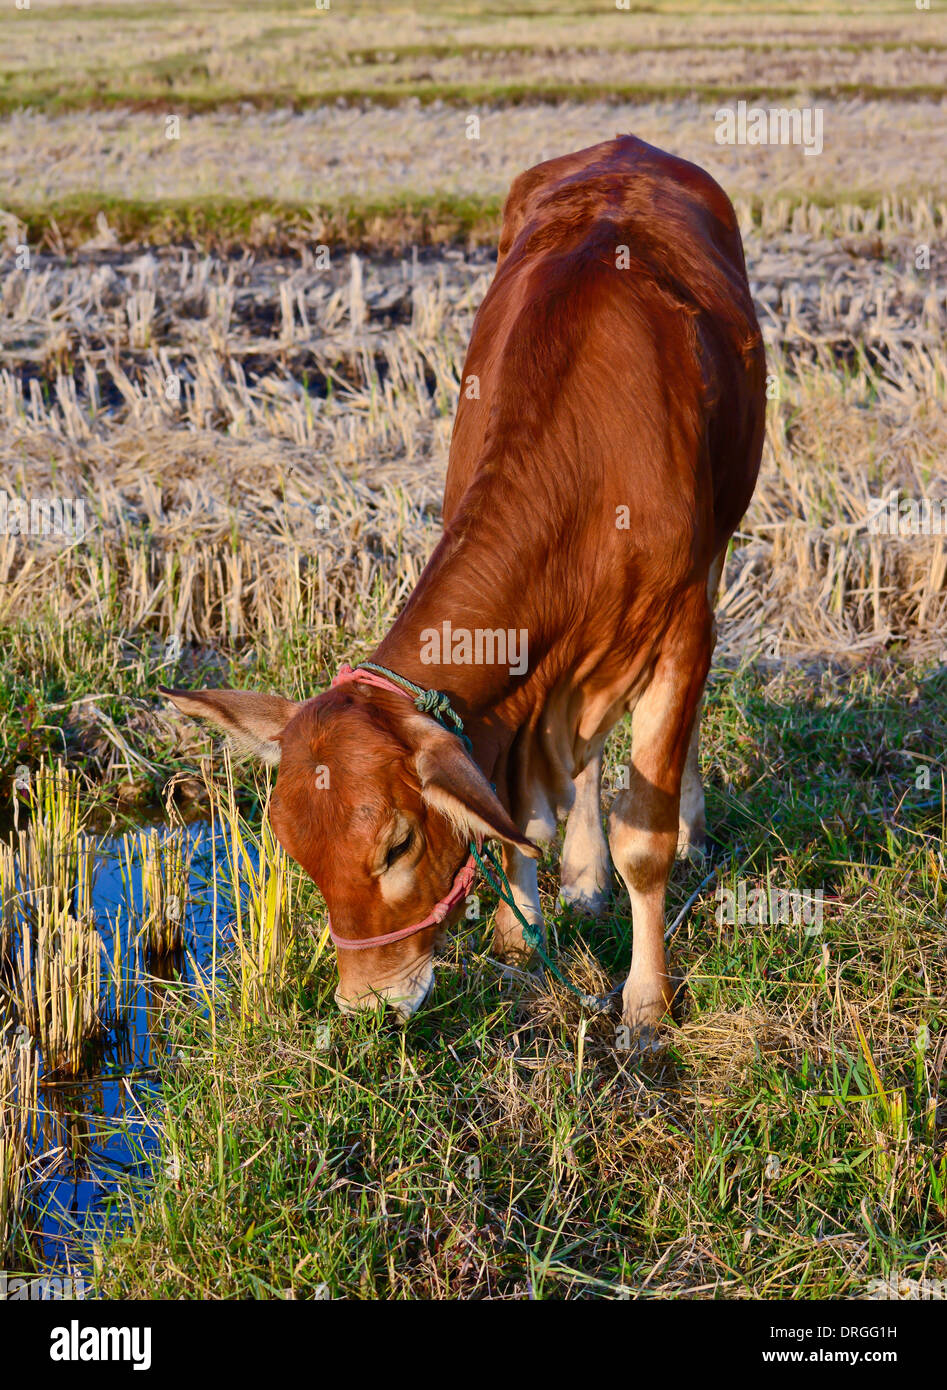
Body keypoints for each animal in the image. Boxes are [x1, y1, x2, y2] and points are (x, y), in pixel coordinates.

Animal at [162, 135, 762, 1039]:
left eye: (397, 845)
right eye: (298, 854)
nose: (368, 1004)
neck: (587, 461)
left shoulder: (678, 625)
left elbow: (644, 839)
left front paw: (645, 1003)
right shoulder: (528, 678)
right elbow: (519, 815)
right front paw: (522, 935)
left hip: (720, 548)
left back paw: (687, 833)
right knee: (582, 763)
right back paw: (582, 875)